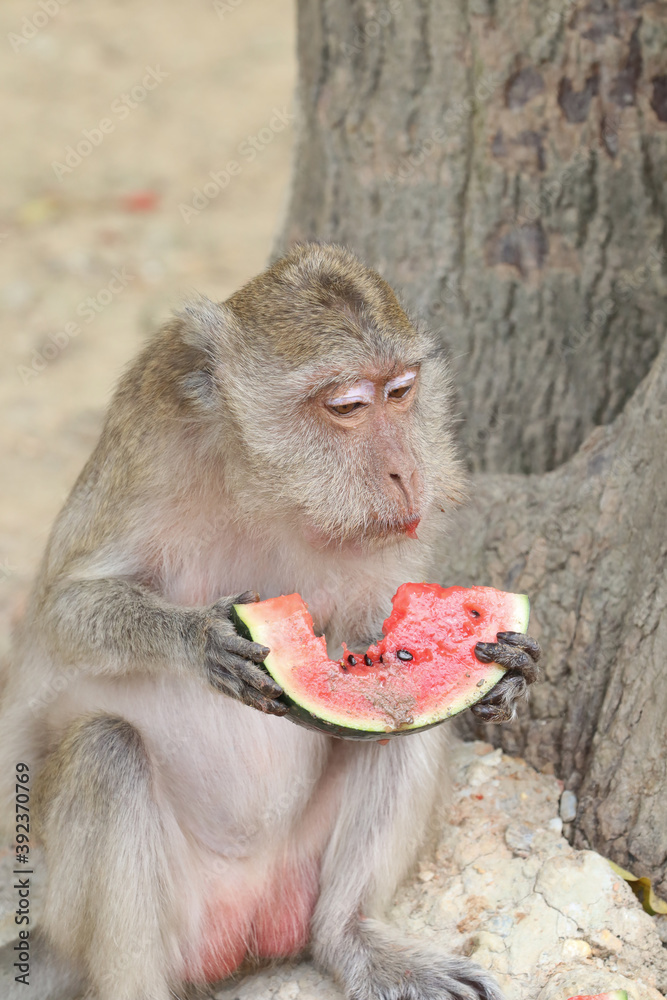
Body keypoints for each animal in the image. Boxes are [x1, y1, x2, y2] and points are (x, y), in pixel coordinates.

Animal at [0, 243, 540, 1000]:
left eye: (400, 392)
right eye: (347, 406)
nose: (407, 473)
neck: (267, 487)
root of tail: (247, 921)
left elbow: (387, 640)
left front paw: (507, 673)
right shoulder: (148, 431)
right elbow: (61, 610)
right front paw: (197, 638)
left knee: (405, 725)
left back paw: (351, 937)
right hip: (122, 913)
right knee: (107, 752)